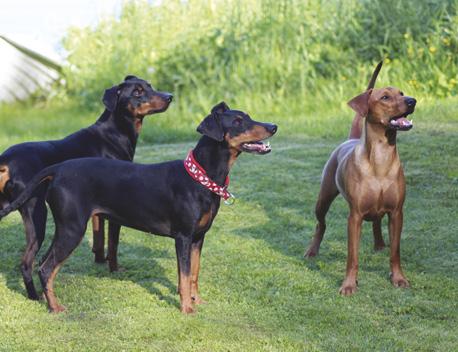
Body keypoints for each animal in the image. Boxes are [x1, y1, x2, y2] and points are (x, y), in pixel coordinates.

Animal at [0, 76, 172, 300]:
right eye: (137, 92)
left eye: (150, 86)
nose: (170, 97)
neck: (114, 133)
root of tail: (5, 161)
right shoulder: (114, 209)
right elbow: (113, 244)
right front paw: (114, 270)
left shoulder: (97, 209)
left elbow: (99, 239)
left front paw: (99, 261)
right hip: (35, 212)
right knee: (26, 262)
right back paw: (36, 296)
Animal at [0, 102, 276, 314]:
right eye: (238, 121)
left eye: (248, 116)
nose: (274, 127)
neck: (200, 177)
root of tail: (57, 169)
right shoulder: (183, 238)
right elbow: (184, 276)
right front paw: (187, 309)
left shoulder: (198, 238)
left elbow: (194, 274)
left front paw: (198, 301)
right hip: (71, 228)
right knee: (46, 268)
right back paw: (55, 307)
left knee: (40, 264)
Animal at [306, 64, 416, 296]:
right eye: (385, 97)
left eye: (402, 93)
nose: (412, 101)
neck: (381, 159)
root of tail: (351, 139)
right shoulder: (354, 216)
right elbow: (352, 256)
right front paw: (349, 284)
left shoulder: (397, 213)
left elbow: (396, 252)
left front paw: (398, 278)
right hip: (323, 198)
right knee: (321, 224)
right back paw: (312, 250)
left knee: (376, 221)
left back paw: (379, 244)